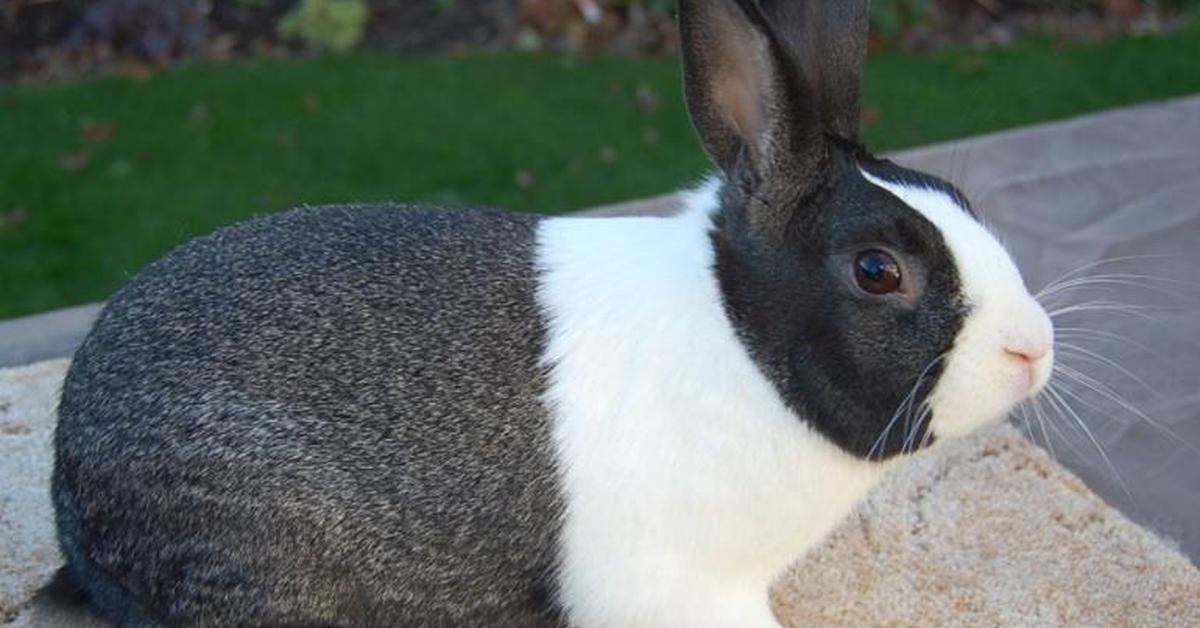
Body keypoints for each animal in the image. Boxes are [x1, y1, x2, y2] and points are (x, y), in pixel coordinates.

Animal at [51, 1, 1056, 628]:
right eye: (879, 271)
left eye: (957, 198)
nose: (1035, 350)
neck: (741, 340)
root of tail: (68, 490)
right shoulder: (680, 586)